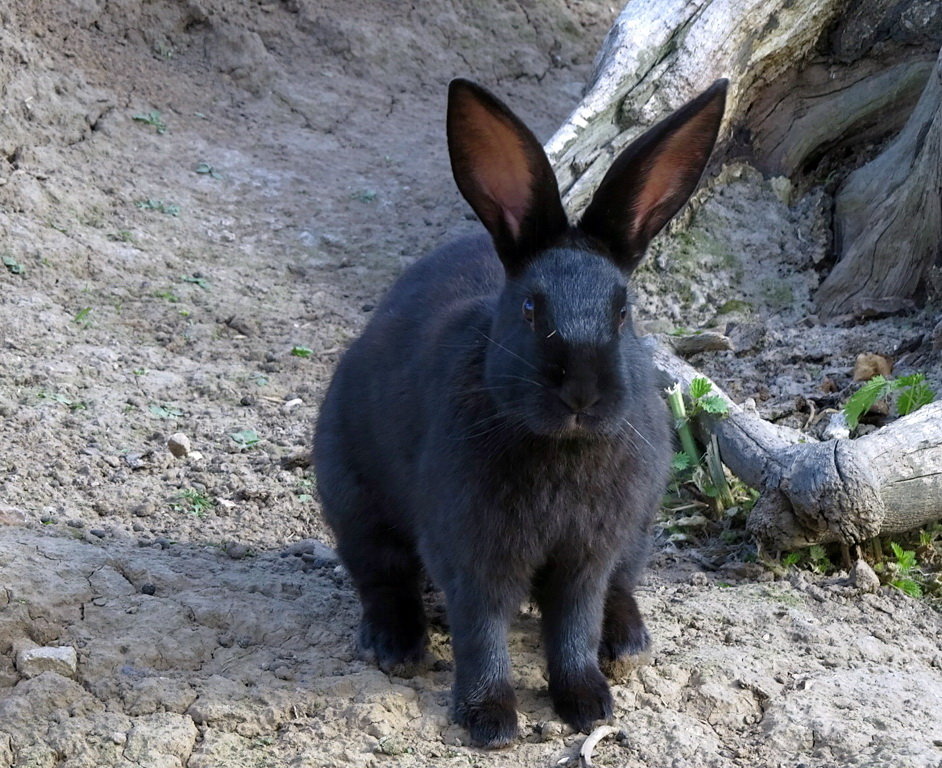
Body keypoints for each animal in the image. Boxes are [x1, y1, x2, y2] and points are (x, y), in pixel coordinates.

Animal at [318, 76, 732, 744]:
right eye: (533, 311)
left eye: (623, 312)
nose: (581, 394)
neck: (560, 448)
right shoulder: (472, 552)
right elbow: (482, 631)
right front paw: (490, 721)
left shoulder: (588, 554)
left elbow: (574, 625)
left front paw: (588, 704)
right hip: (352, 499)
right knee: (382, 577)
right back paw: (396, 647)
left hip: (638, 529)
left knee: (620, 589)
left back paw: (628, 645)